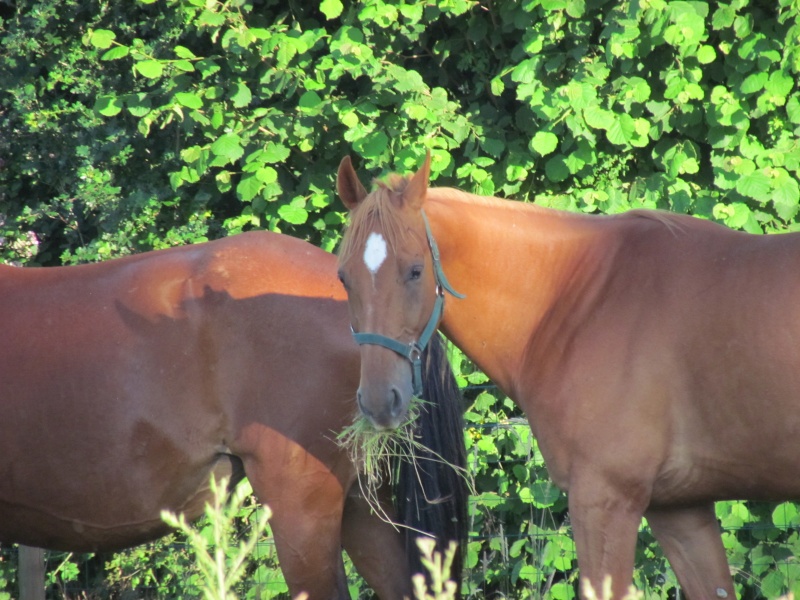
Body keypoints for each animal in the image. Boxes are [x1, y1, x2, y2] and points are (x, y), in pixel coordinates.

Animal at [334, 155, 800, 600]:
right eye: (344, 277)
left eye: (415, 271)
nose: (379, 402)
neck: (581, 300)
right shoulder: (680, 510)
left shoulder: (604, 501)